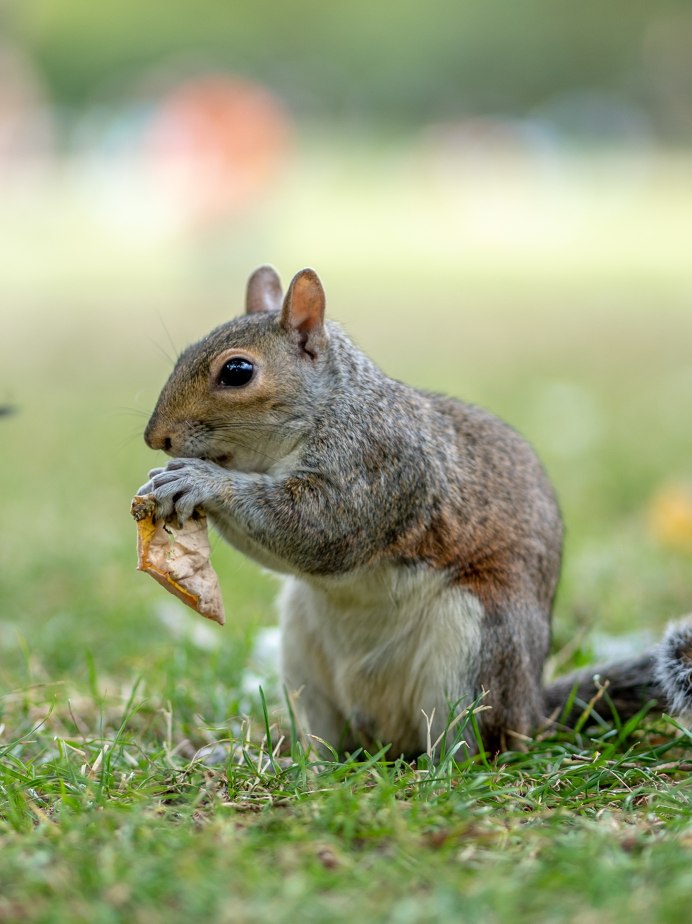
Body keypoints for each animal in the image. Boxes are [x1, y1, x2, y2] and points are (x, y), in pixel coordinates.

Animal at [138, 264, 692, 756]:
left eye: (237, 371)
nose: (155, 438)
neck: (329, 407)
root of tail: (532, 711)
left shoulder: (378, 465)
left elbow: (319, 531)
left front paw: (201, 480)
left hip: (475, 649)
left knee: (471, 743)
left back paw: (439, 770)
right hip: (303, 649)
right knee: (330, 742)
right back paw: (289, 761)